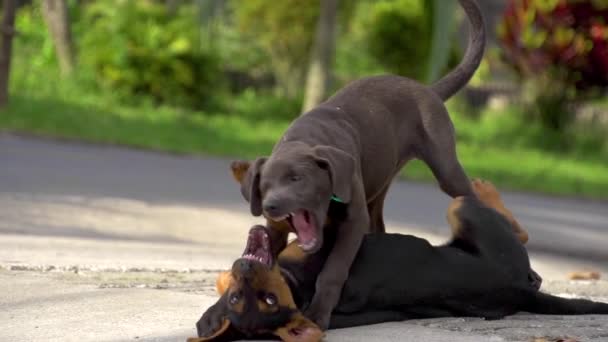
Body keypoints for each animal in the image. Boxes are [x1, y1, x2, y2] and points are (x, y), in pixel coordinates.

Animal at [194, 182, 608, 342]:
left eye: (236, 297)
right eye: (261, 301)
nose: (245, 269)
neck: (296, 285)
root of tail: (521, 290)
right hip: (467, 214)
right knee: (512, 229)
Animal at [233, 0, 532, 328]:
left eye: (297, 179)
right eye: (263, 186)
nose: (272, 205)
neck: (304, 139)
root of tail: (427, 90)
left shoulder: (353, 222)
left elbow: (333, 270)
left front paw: (319, 313)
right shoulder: (276, 229)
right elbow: (272, 253)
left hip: (446, 171)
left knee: (482, 203)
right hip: (380, 189)